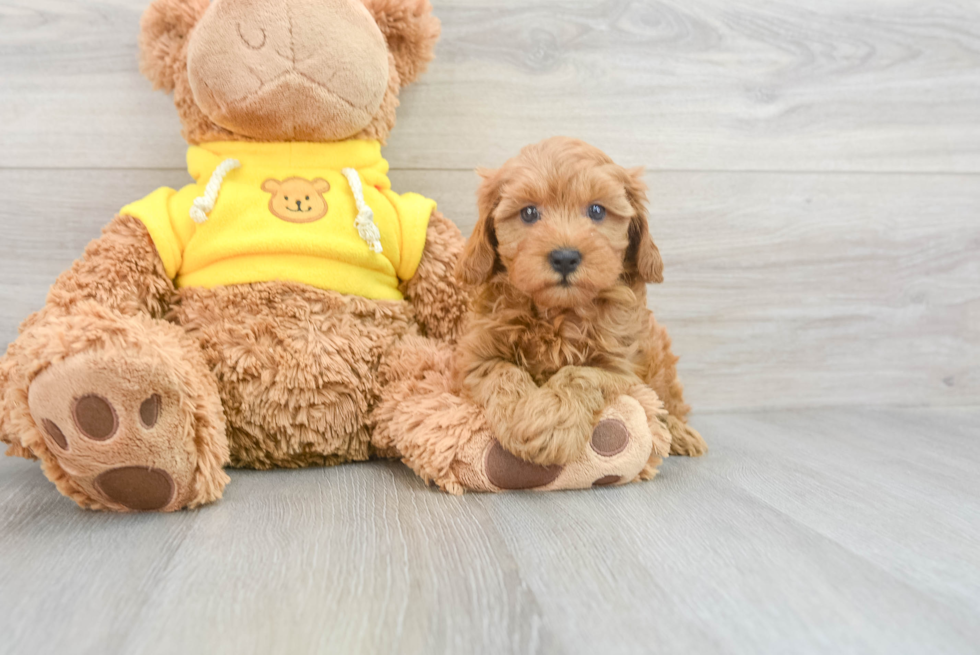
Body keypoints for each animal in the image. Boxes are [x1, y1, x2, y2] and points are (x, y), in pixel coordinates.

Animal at [452, 136, 704, 468]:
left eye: (596, 210)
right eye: (528, 213)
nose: (564, 257)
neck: (559, 313)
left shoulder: (621, 369)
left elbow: (579, 375)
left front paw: (550, 424)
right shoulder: (475, 358)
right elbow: (504, 373)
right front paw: (524, 416)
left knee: (668, 403)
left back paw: (679, 432)